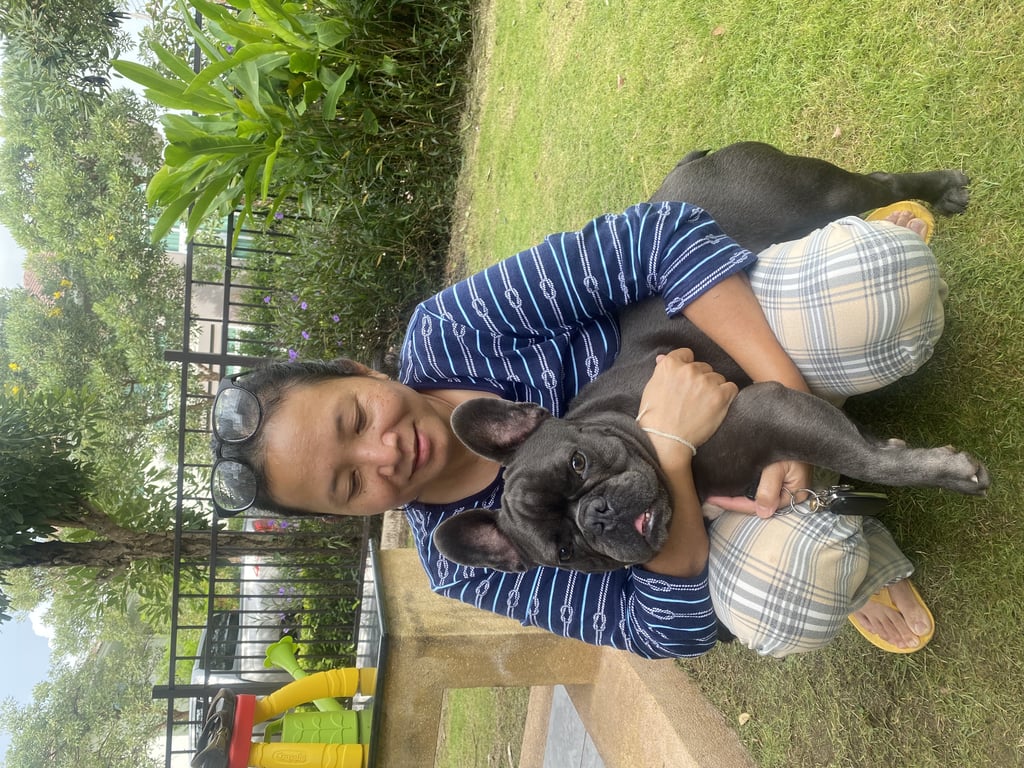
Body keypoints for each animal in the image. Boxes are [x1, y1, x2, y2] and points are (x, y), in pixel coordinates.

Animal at [431, 142, 986, 573]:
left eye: (578, 462)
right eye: (565, 551)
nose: (597, 515)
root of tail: (692, 164)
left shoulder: (768, 407)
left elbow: (862, 457)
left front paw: (947, 473)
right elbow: (859, 449)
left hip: (820, 196)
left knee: (879, 183)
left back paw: (944, 190)